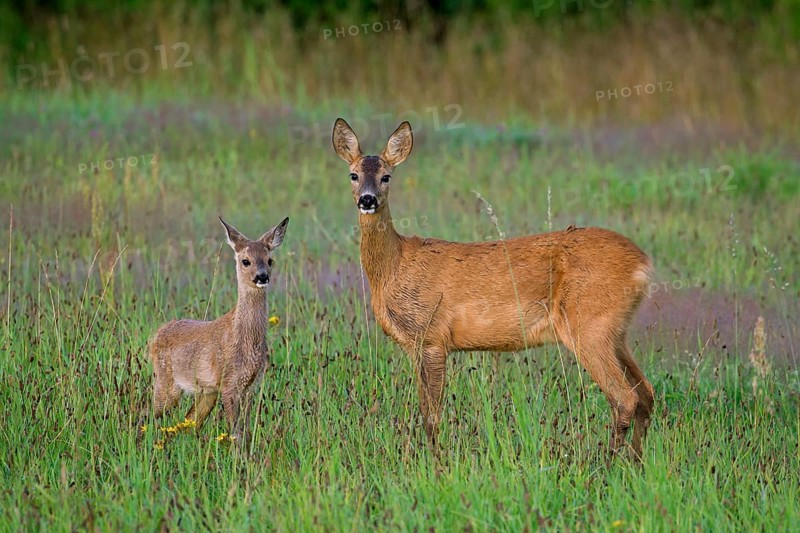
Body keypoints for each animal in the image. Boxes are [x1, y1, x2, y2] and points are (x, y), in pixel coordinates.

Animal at [147, 216, 289, 446]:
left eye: (270, 260)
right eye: (245, 261)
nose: (262, 276)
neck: (245, 338)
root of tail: (157, 334)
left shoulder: (250, 385)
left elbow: (244, 431)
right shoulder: (229, 382)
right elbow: (235, 432)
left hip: (206, 392)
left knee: (190, 422)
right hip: (166, 381)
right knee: (151, 416)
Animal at [332, 118, 655, 459]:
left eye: (386, 176)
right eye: (353, 174)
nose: (367, 199)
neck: (393, 268)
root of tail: (642, 263)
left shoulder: (431, 337)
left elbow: (431, 415)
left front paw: (435, 463)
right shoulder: (417, 345)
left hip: (588, 324)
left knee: (625, 397)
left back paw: (606, 464)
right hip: (615, 331)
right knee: (646, 393)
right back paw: (636, 461)